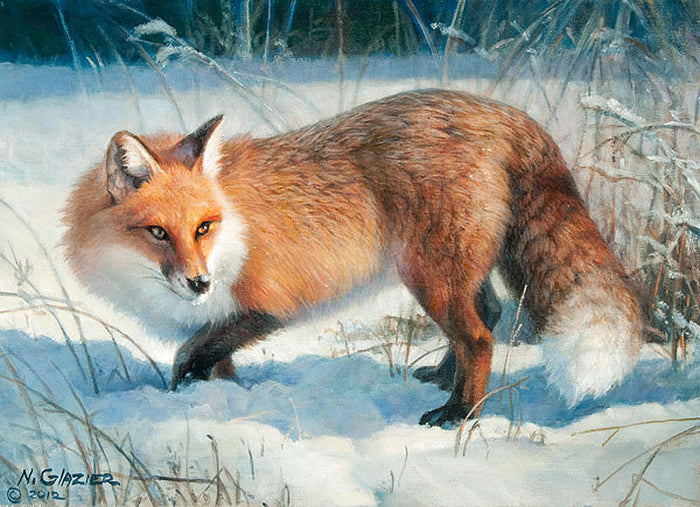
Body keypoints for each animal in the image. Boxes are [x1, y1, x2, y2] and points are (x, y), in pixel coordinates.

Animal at [63, 89, 642, 426]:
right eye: (158, 233)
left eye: (204, 227)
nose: (199, 283)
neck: (234, 228)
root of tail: (499, 112)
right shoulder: (225, 319)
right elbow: (210, 358)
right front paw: (218, 398)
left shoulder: (266, 305)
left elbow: (189, 352)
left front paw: (186, 392)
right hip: (453, 269)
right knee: (490, 316)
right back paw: (442, 380)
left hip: (429, 273)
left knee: (479, 338)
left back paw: (460, 413)